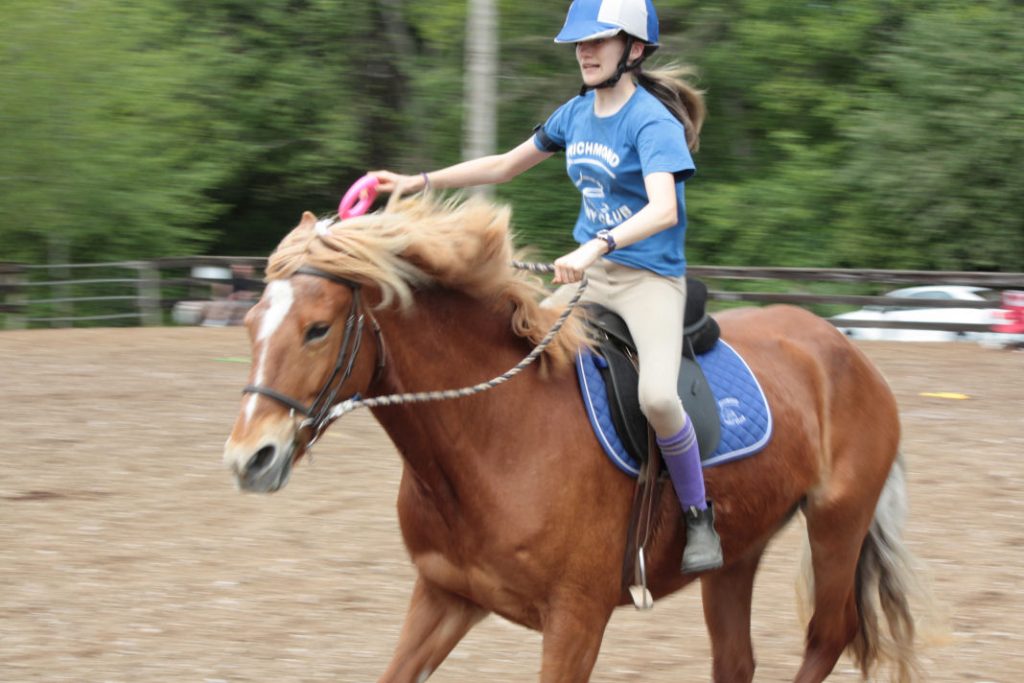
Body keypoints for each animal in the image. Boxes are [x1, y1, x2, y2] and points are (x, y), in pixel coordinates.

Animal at [224, 193, 929, 683]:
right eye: (253, 322)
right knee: (737, 660)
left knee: (827, 636)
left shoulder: (575, 621)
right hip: (737, 553)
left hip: (837, 525)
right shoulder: (446, 595)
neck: (495, 435)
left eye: (317, 329)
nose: (248, 459)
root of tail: (844, 348)